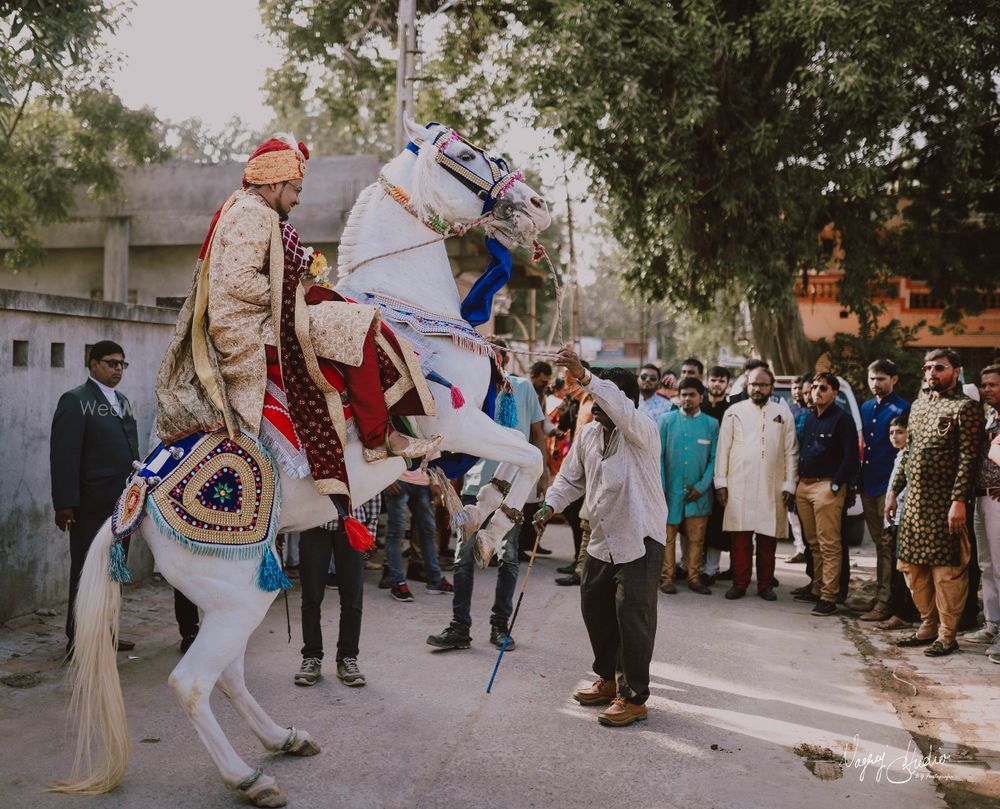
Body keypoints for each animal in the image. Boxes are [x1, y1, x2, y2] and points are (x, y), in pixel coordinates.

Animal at [52, 121, 556, 808]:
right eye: (464, 154)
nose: (535, 205)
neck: (409, 313)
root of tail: (133, 506)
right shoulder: (453, 424)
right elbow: (529, 454)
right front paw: (490, 525)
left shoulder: (457, 435)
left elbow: (517, 458)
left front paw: (478, 519)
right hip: (234, 597)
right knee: (194, 682)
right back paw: (249, 777)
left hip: (233, 597)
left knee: (230, 674)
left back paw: (283, 739)